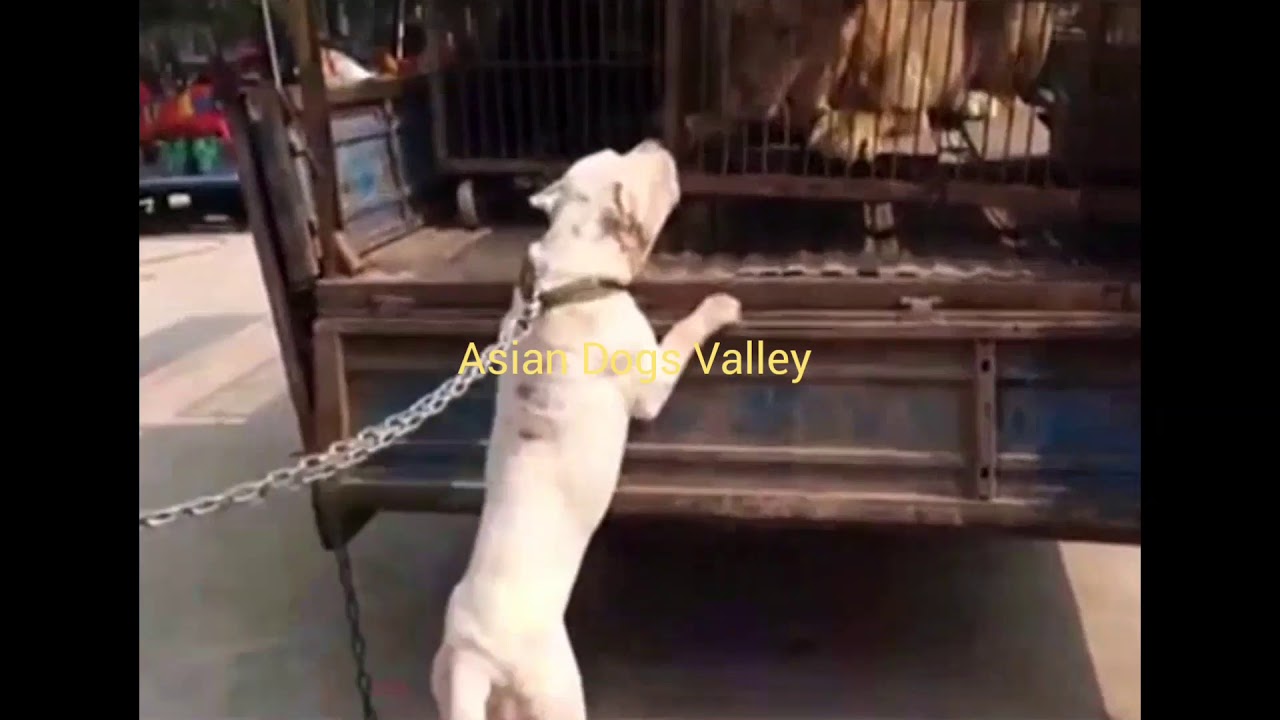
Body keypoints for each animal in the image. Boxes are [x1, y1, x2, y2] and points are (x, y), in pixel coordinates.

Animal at [431, 139, 742, 720]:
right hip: (554, 688)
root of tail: (476, 655)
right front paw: (718, 306)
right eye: (636, 168)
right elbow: (683, 333)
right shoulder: (651, 378)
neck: (568, 280)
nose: (654, 143)